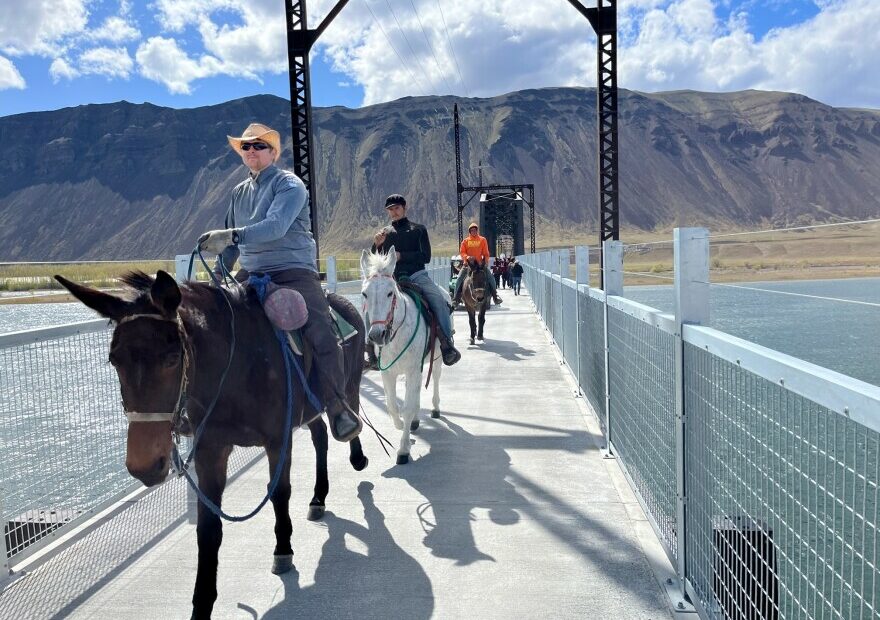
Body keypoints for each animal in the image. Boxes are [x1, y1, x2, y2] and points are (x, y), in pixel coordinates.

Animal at [57, 272, 368, 620]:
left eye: (171, 359)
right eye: (114, 360)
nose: (144, 465)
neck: (237, 367)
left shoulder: (278, 440)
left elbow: (279, 493)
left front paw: (283, 550)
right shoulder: (211, 450)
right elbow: (207, 527)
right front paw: (202, 603)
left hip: (347, 384)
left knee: (346, 412)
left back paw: (356, 452)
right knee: (320, 436)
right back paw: (317, 498)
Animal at [360, 247, 444, 464]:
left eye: (390, 293)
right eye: (365, 294)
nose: (377, 335)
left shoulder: (413, 369)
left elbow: (406, 407)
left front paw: (404, 449)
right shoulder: (388, 372)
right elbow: (392, 405)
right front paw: (399, 424)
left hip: (437, 358)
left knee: (436, 379)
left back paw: (435, 408)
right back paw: (415, 419)